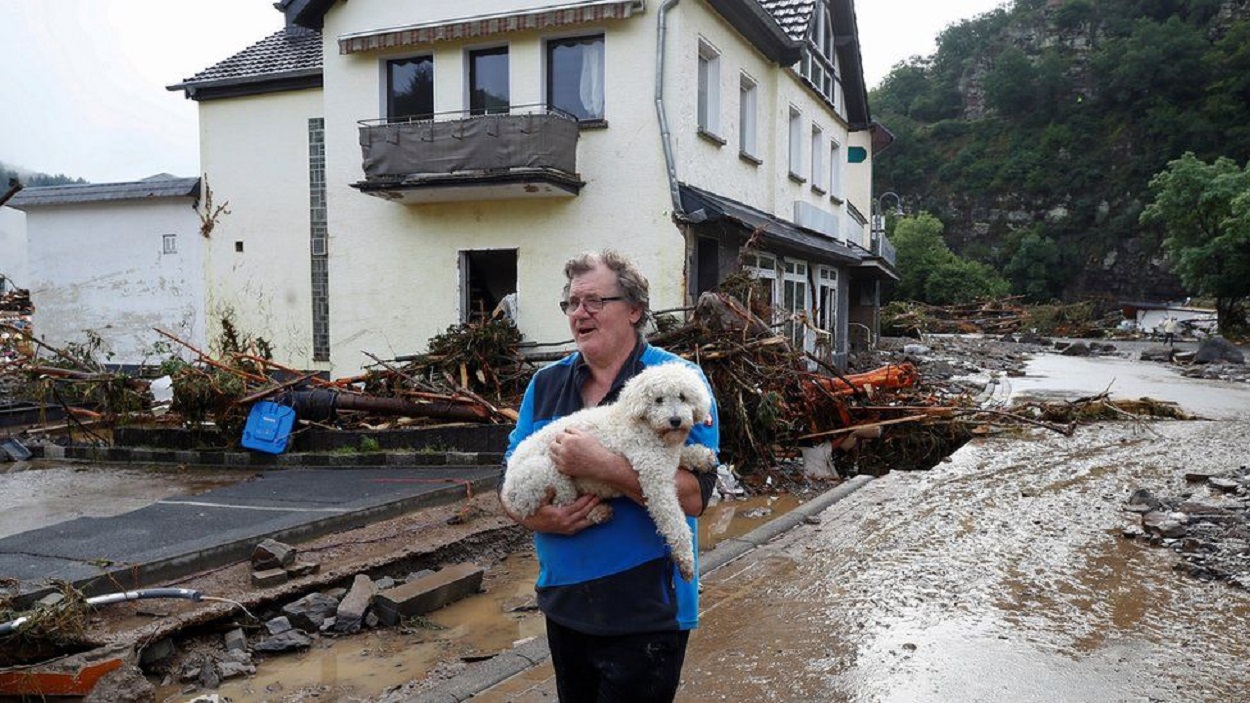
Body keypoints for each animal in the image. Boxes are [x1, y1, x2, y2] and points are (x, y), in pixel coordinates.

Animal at [502, 362, 720, 577]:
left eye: (683, 397)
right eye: (658, 400)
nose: (675, 420)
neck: (649, 427)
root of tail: (509, 492)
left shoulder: (666, 456)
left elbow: (682, 454)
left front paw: (702, 456)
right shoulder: (654, 477)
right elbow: (673, 520)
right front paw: (686, 559)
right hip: (545, 471)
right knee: (564, 505)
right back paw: (596, 512)